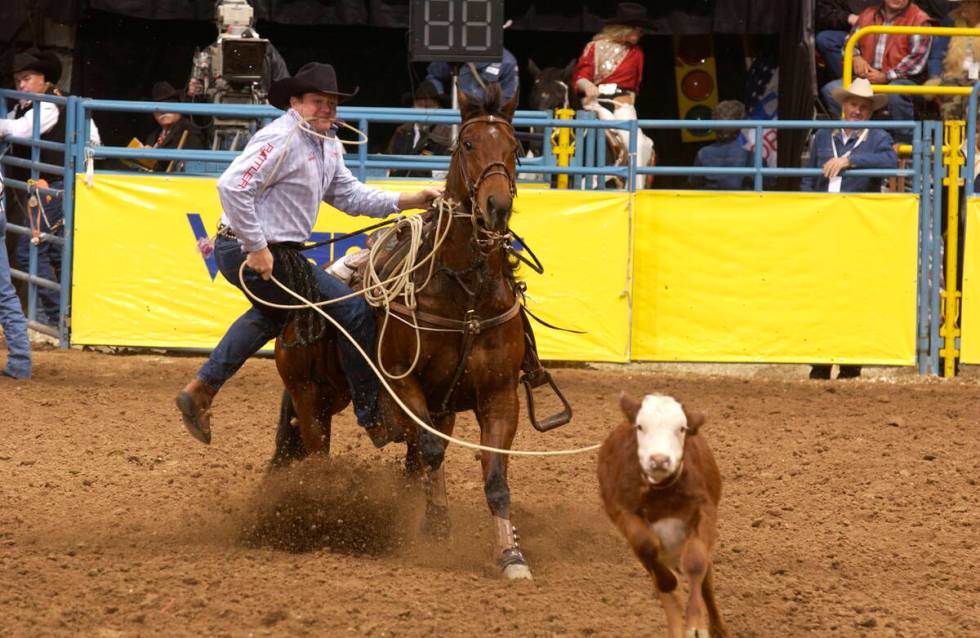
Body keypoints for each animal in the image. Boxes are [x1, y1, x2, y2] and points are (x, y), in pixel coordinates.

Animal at [272, 84, 536, 580]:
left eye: (515, 148)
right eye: (467, 144)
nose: (496, 208)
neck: (464, 295)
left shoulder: (499, 394)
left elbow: (493, 473)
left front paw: (511, 555)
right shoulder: (402, 383)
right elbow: (430, 451)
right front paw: (437, 527)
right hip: (308, 395)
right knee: (318, 455)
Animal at [596, 396, 728, 638]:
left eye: (682, 428)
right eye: (640, 426)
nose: (659, 460)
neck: (662, 494)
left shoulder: (704, 512)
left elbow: (696, 563)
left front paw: (696, 626)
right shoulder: (624, 512)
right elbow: (648, 549)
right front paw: (669, 582)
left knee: (705, 581)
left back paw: (717, 628)